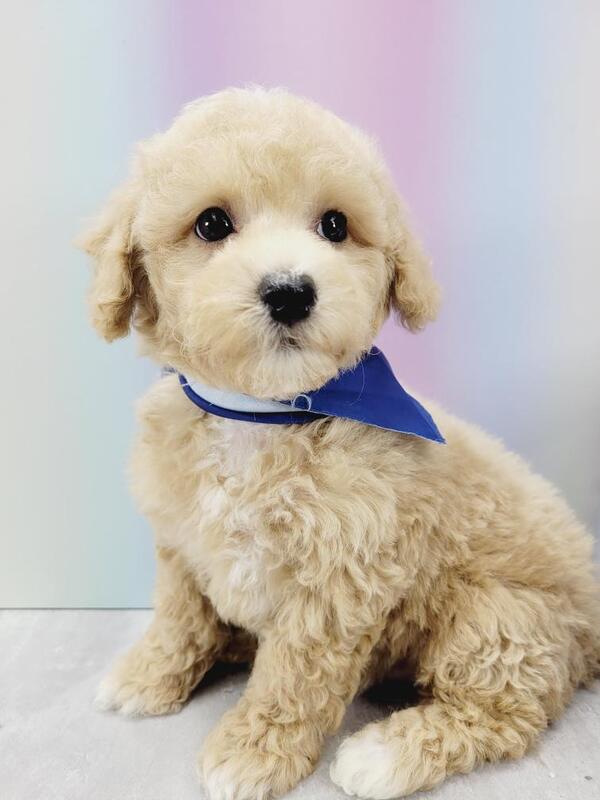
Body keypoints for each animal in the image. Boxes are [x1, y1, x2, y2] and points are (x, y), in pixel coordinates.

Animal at [80, 87, 600, 800]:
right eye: (211, 224)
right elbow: (179, 617)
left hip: (499, 619)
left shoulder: (336, 584)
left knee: (501, 710)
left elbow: (292, 677)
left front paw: (252, 751)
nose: (290, 292)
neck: (265, 415)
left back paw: (385, 753)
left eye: (334, 225)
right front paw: (149, 674)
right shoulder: (182, 545)